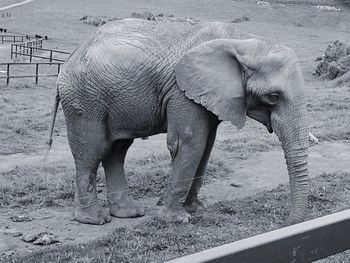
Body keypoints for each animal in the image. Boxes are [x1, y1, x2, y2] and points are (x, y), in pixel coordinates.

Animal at [46, 18, 308, 226]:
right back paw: (94, 219)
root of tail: (70, 58)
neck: (245, 42)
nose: (284, 222)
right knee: (93, 151)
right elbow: (189, 143)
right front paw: (177, 219)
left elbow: (206, 145)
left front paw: (194, 208)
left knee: (116, 150)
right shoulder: (182, 92)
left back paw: (129, 213)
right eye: (273, 97)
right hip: (84, 99)